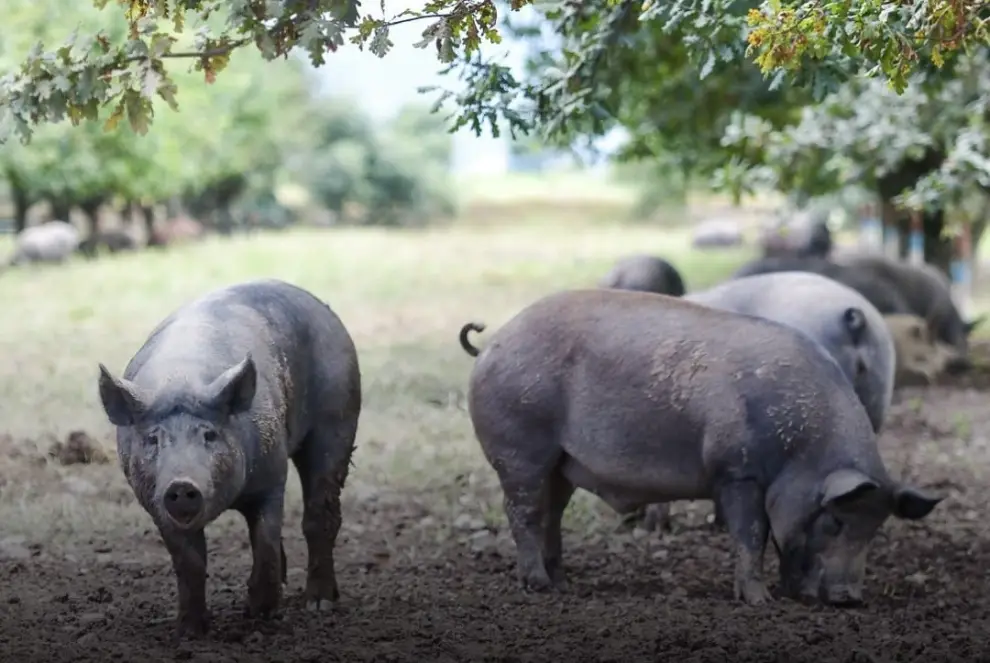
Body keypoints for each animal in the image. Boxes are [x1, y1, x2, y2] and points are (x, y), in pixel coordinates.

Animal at [96, 279, 361, 638]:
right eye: (153, 439)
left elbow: (264, 540)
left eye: (209, 435)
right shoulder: (154, 502)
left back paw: (319, 604)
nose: (181, 484)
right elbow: (189, 562)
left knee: (321, 513)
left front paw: (261, 615)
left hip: (338, 415)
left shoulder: (271, 477)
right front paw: (189, 630)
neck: (180, 379)